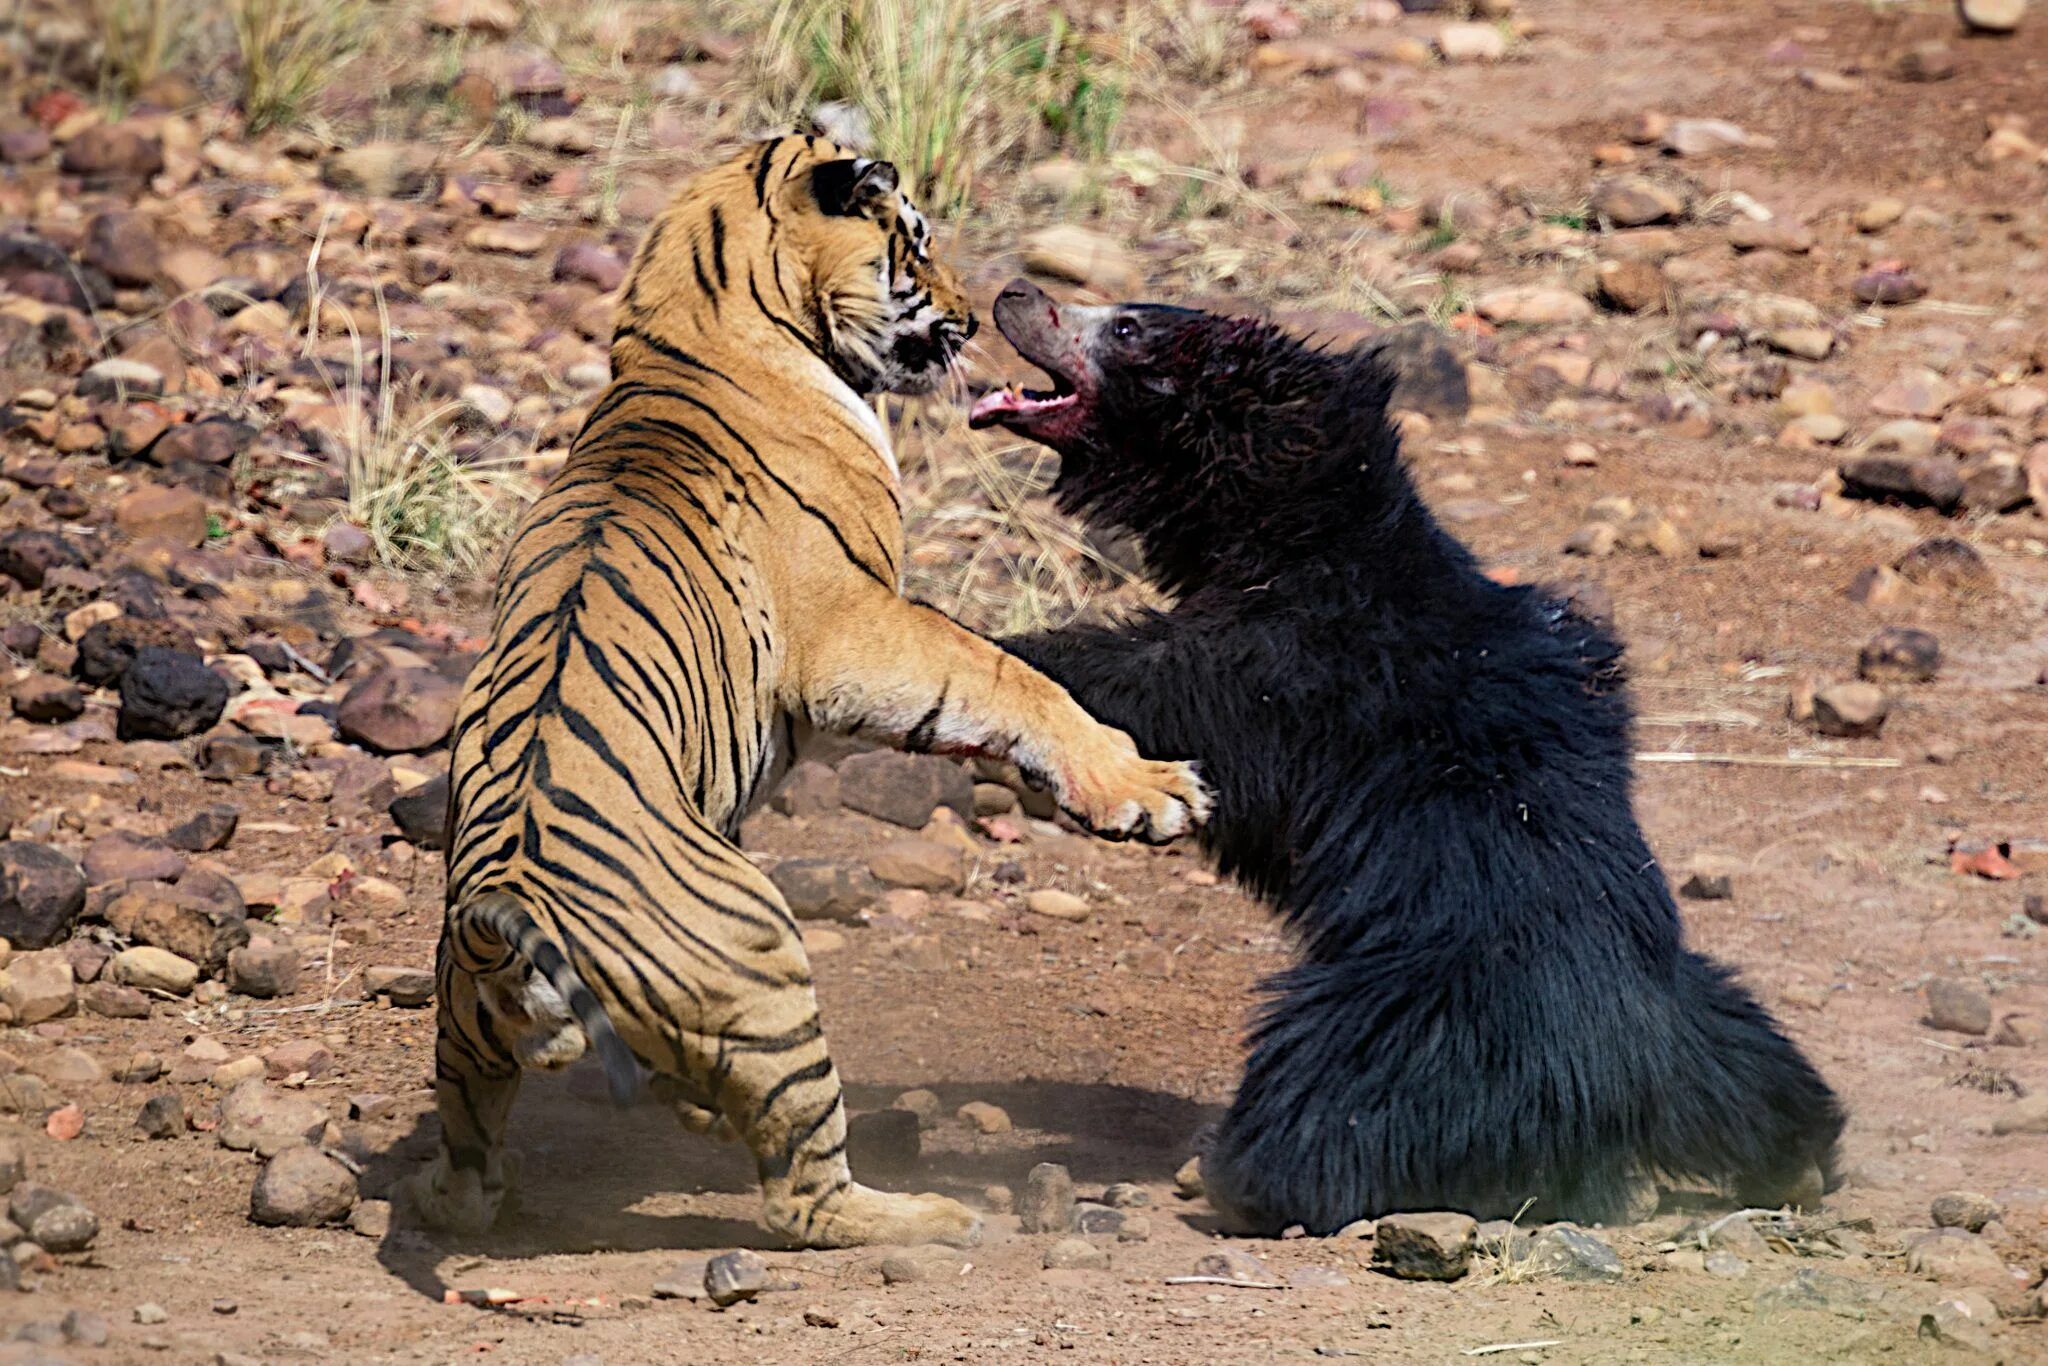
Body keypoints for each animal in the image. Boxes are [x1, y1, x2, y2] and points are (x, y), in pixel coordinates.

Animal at [405, 136, 1204, 1253]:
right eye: (915, 240)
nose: (971, 306)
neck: (688, 327)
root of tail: (504, 909)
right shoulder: (856, 629)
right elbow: (1004, 676)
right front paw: (1146, 789)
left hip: (463, 1036)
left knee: (468, 1165)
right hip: (766, 967)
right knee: (802, 1197)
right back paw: (932, 1218)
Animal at [966, 280, 1851, 1236]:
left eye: (1126, 328)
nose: (1014, 292)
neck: (1301, 528)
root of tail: (1613, 1086)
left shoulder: (1290, 668)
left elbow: (1153, 686)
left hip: (1413, 1021)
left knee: (1321, 1102)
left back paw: (1239, 1175)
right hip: (1696, 1014)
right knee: (1754, 1059)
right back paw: (1799, 1160)